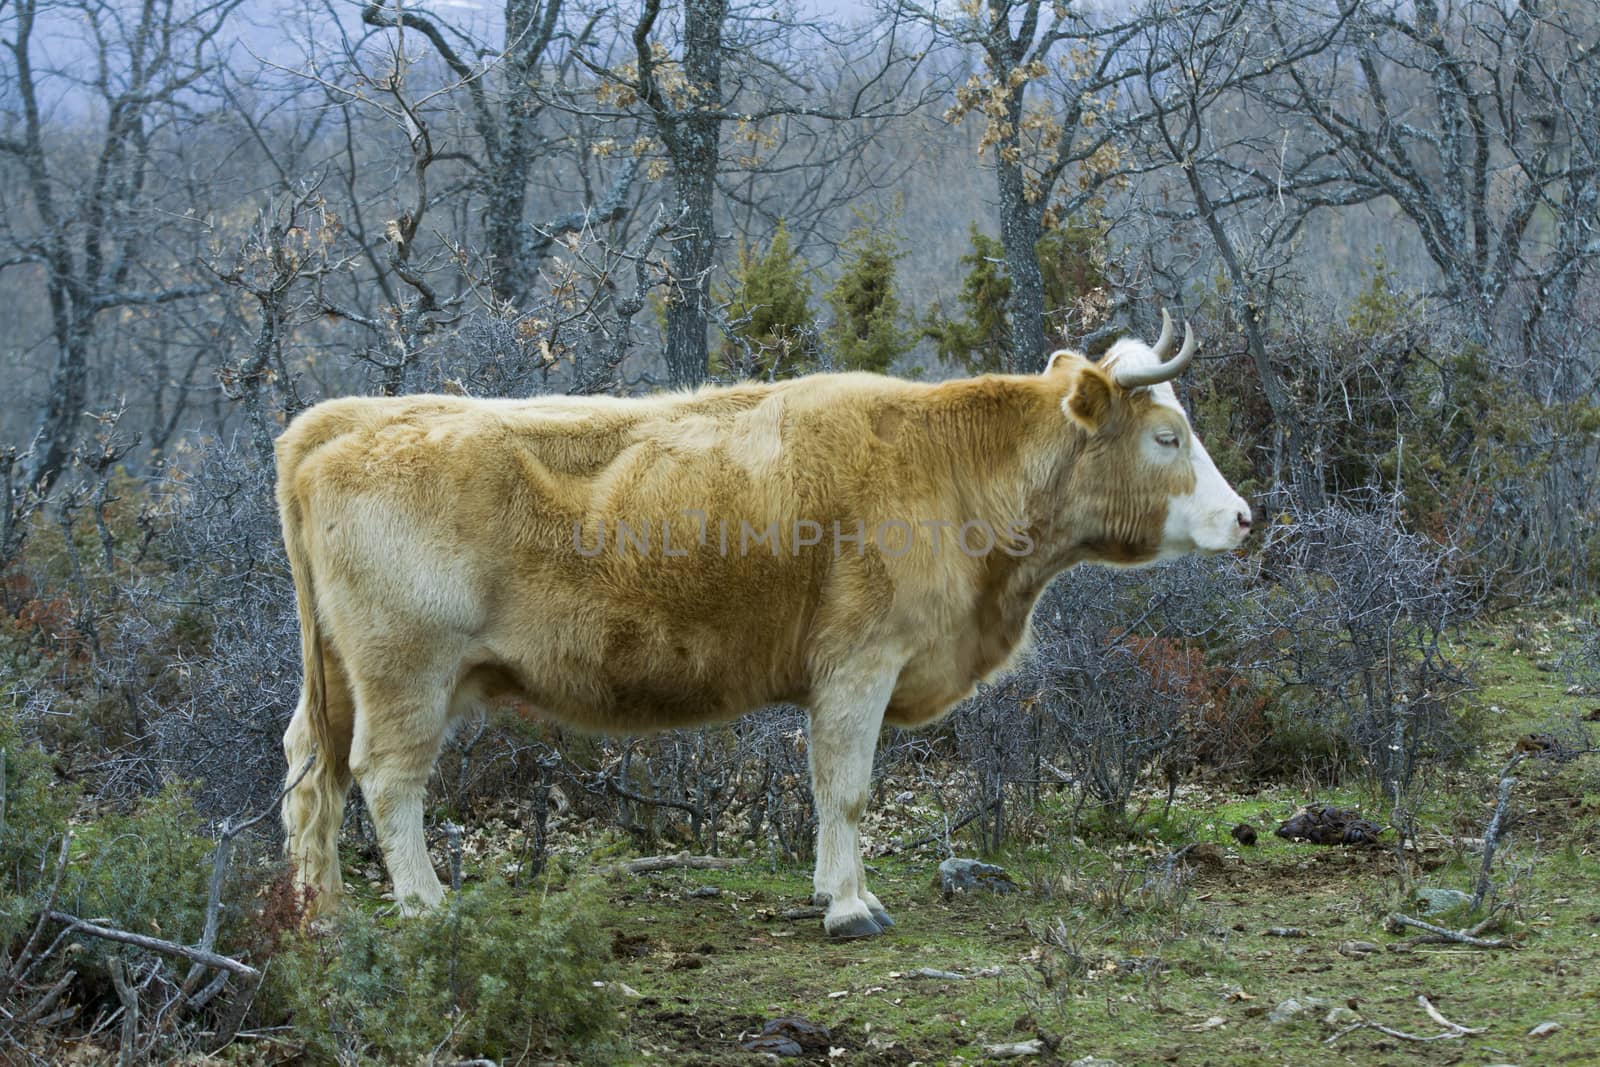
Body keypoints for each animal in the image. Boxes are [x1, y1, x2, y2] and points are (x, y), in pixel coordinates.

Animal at [278, 308, 1248, 934]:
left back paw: (322, 910)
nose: (1243, 517)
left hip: (338, 676)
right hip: (407, 672)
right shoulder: (860, 664)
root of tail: (342, 420)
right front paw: (852, 906)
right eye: (1167, 437)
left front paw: (832, 890)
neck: (948, 463)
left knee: (311, 772)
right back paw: (425, 904)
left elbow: (828, 789)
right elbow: (847, 786)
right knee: (384, 777)